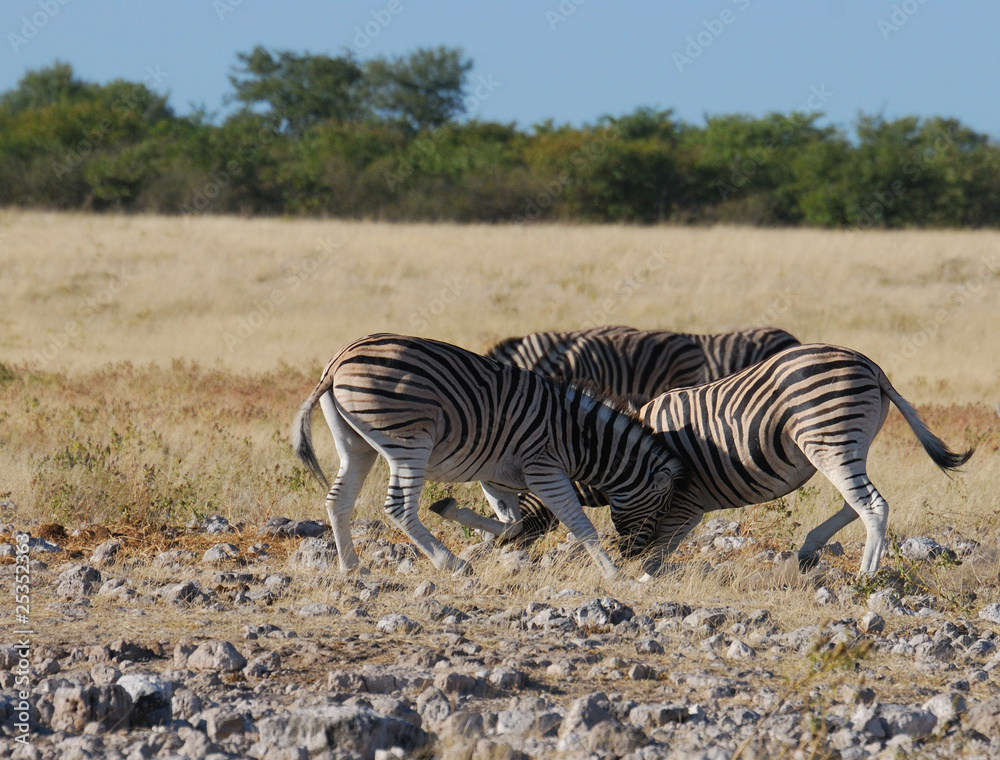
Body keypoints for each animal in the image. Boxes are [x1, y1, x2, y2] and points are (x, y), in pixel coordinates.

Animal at [291, 333, 683, 579]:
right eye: (660, 510)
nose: (635, 557)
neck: (582, 438)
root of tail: (338, 361)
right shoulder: (544, 469)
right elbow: (579, 524)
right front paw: (614, 575)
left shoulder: (497, 478)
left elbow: (514, 523)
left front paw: (458, 514)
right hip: (410, 441)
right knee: (398, 508)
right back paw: (450, 564)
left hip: (356, 446)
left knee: (338, 501)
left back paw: (351, 567)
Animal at [436, 343, 973, 578]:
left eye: (511, 508)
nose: (502, 548)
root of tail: (869, 365)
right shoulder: (686, 508)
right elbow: (661, 549)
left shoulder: (678, 503)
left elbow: (653, 545)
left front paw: (635, 574)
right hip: (838, 446)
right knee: (855, 503)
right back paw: (808, 550)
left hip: (829, 437)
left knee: (873, 506)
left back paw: (865, 576)